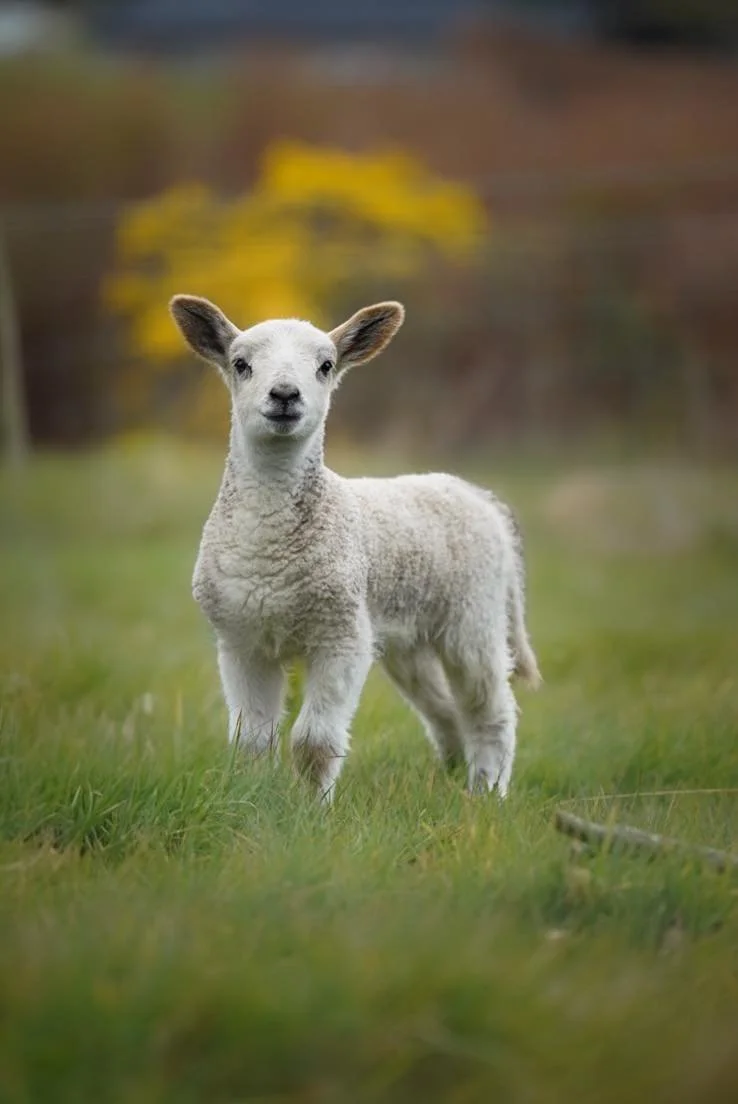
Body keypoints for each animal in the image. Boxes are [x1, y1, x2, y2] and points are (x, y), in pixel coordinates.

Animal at [169, 295, 541, 802]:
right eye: (241, 364)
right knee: (445, 711)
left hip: (474, 618)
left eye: (326, 366)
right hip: (406, 639)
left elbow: (314, 741)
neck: (268, 556)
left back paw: (486, 793)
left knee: (492, 711)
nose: (285, 395)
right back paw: (449, 773)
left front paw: (311, 808)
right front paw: (251, 798)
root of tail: (482, 499)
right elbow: (252, 740)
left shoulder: (341, 633)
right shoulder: (242, 639)